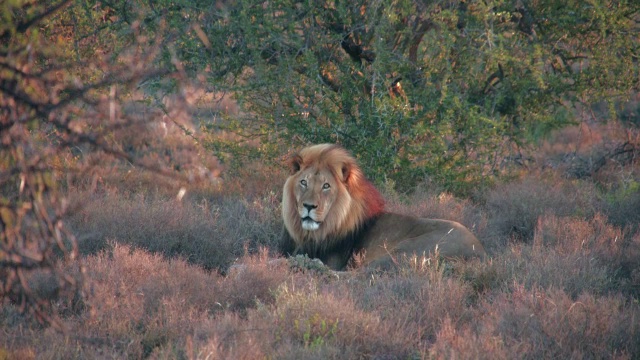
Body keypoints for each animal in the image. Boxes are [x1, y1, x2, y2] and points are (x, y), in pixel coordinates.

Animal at [280, 143, 484, 270]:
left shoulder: (334, 259)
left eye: (326, 186)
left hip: (403, 250)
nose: (308, 206)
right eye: (304, 182)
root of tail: (481, 251)